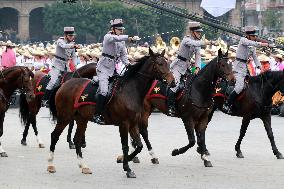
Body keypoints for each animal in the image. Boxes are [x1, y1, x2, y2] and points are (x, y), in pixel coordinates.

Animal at [46, 48, 175, 177]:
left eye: (168, 63)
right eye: (160, 64)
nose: (173, 82)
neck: (130, 90)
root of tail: (63, 85)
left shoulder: (133, 124)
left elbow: (139, 146)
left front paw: (125, 159)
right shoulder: (124, 124)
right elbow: (125, 146)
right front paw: (127, 168)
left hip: (82, 119)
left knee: (77, 139)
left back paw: (83, 166)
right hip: (65, 117)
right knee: (54, 136)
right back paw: (50, 164)